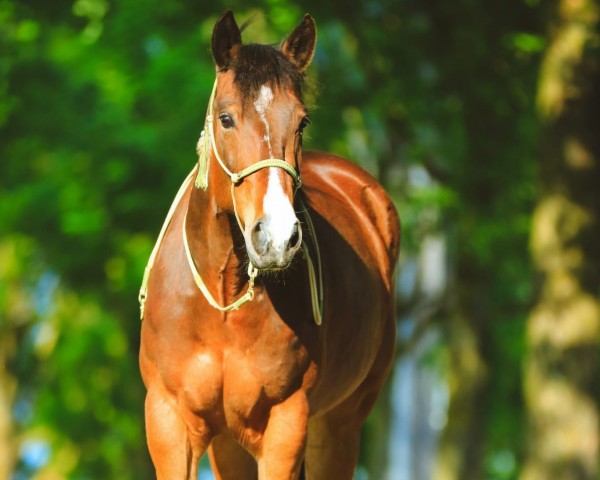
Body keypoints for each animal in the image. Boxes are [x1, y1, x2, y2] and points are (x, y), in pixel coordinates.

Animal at [139, 11, 400, 480]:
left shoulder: (285, 426)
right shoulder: (169, 423)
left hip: (339, 426)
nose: (277, 237)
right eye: (226, 118)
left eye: (302, 121)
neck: (222, 302)